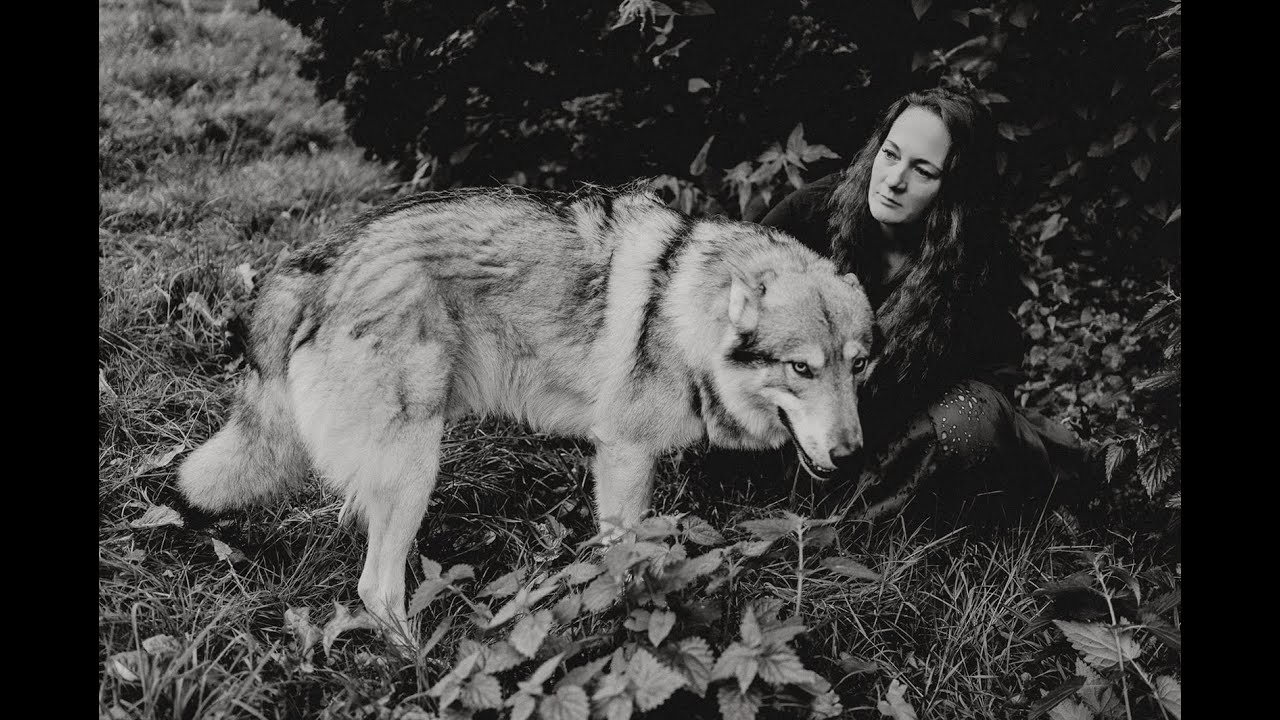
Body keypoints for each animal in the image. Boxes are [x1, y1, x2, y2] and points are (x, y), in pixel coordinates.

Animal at [178, 183, 876, 636]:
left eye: (858, 365)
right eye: (802, 368)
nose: (850, 454)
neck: (684, 315)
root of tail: (319, 259)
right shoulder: (624, 455)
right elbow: (624, 562)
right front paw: (623, 626)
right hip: (417, 469)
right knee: (376, 591)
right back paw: (422, 665)